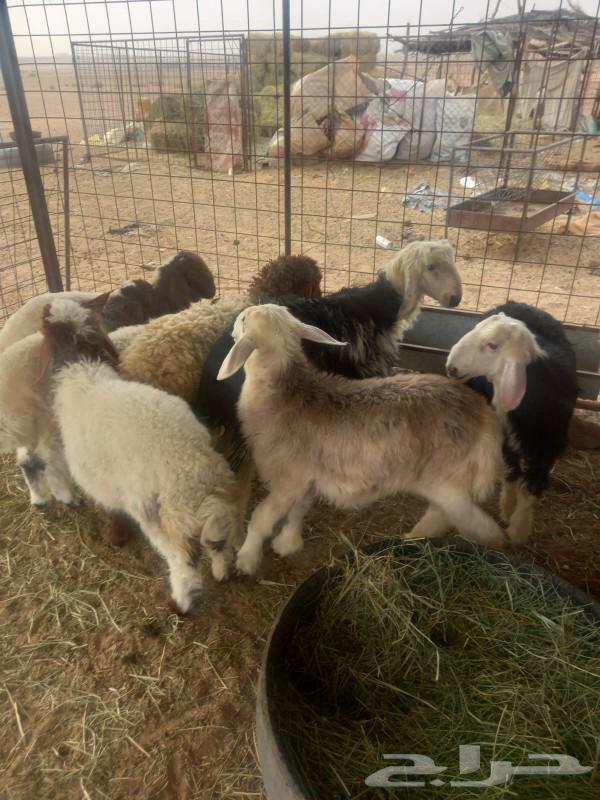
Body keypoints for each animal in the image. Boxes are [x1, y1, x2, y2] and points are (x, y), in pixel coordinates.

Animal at [40, 298, 239, 613]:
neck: (81, 367)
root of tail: (195, 468)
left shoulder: (99, 477)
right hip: (211, 502)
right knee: (218, 539)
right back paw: (222, 572)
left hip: (156, 512)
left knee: (180, 559)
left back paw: (182, 601)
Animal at [217, 304, 504, 575]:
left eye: (244, 320)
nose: (235, 320)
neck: (281, 392)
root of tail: (484, 418)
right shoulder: (305, 478)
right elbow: (298, 511)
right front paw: (287, 543)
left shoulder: (288, 478)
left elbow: (261, 518)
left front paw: (246, 559)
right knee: (443, 515)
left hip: (445, 480)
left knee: (479, 525)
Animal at [446, 301, 578, 543]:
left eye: (492, 346)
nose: (451, 367)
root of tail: (516, 302)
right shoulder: (505, 433)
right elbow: (511, 471)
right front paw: (507, 509)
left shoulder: (547, 446)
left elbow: (531, 488)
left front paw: (519, 529)